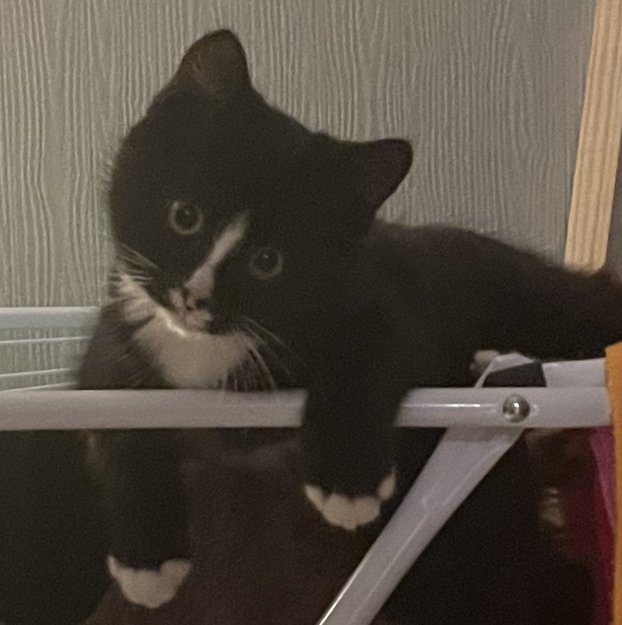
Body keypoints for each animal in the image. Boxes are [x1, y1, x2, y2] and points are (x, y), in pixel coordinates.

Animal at [72, 28, 622, 623]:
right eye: (184, 216)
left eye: (269, 261)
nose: (193, 296)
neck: (203, 347)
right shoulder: (111, 348)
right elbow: (116, 421)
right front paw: (146, 564)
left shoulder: (387, 307)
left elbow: (366, 355)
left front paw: (348, 485)